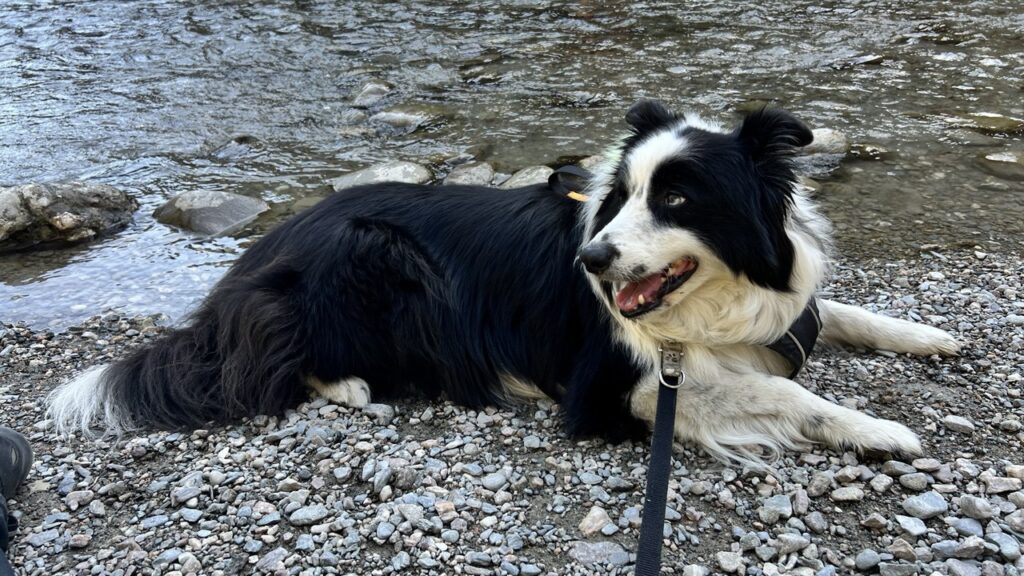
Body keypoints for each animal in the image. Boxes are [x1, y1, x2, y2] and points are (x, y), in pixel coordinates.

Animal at [48, 100, 958, 463]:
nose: (591, 263)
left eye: (676, 199)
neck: (714, 301)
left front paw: (930, 336)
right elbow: (784, 393)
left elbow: (843, 312)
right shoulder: (612, 388)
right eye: (619, 198)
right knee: (273, 364)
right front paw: (881, 430)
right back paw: (350, 386)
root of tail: (247, 270)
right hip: (375, 257)